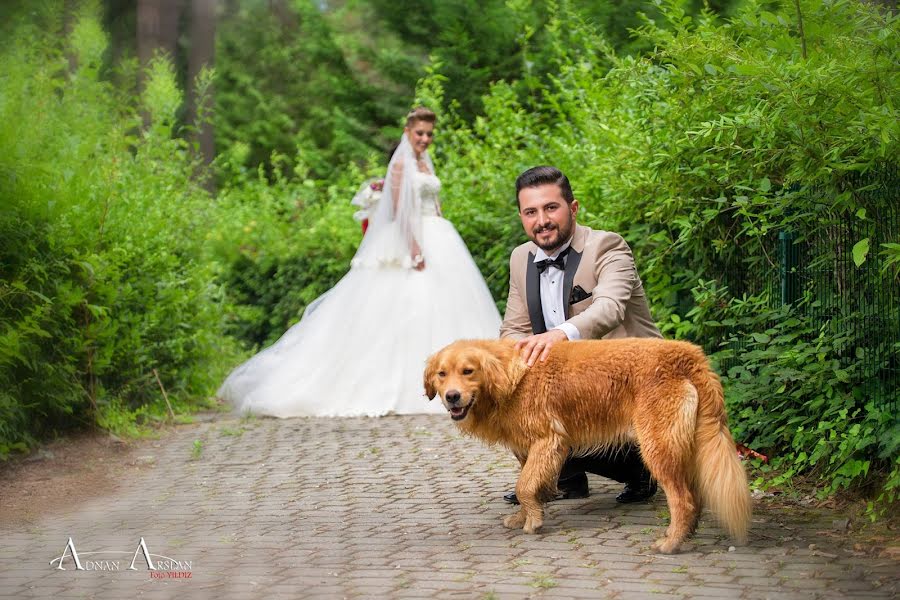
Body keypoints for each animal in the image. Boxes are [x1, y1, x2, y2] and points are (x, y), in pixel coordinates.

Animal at [426, 338, 748, 552]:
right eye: (442, 374)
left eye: (468, 371)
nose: (452, 397)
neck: (508, 378)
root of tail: (690, 355)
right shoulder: (532, 448)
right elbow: (528, 485)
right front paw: (526, 514)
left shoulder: (548, 440)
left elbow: (524, 486)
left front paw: (533, 520)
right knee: (695, 497)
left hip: (657, 447)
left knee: (683, 500)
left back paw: (671, 542)